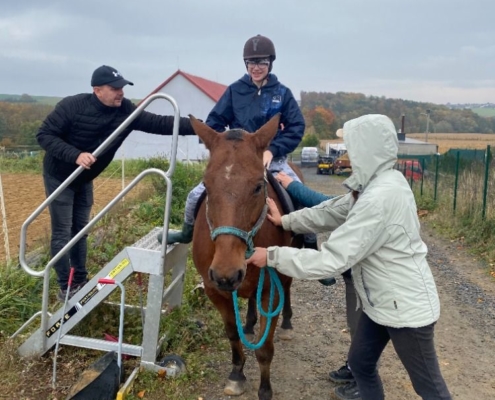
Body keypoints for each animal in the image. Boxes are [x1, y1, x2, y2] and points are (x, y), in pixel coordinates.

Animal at [190, 113, 300, 400]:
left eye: (258, 187)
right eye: (206, 185)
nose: (226, 272)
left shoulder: (270, 290)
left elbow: (265, 348)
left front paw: (265, 389)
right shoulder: (215, 290)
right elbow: (232, 334)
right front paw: (237, 374)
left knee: (288, 289)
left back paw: (287, 324)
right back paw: (249, 323)